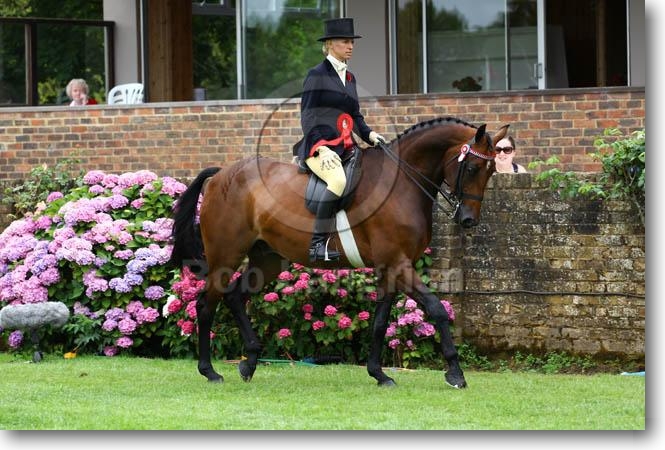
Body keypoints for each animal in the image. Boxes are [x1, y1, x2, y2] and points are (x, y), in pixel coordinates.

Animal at [169, 116, 508, 388]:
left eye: (492, 170)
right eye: (473, 167)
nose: (468, 220)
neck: (402, 182)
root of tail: (220, 175)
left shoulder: (391, 267)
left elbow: (380, 322)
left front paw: (379, 374)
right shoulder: (399, 264)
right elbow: (437, 309)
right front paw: (455, 373)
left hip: (267, 259)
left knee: (236, 297)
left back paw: (249, 363)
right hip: (225, 257)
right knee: (205, 305)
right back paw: (210, 371)